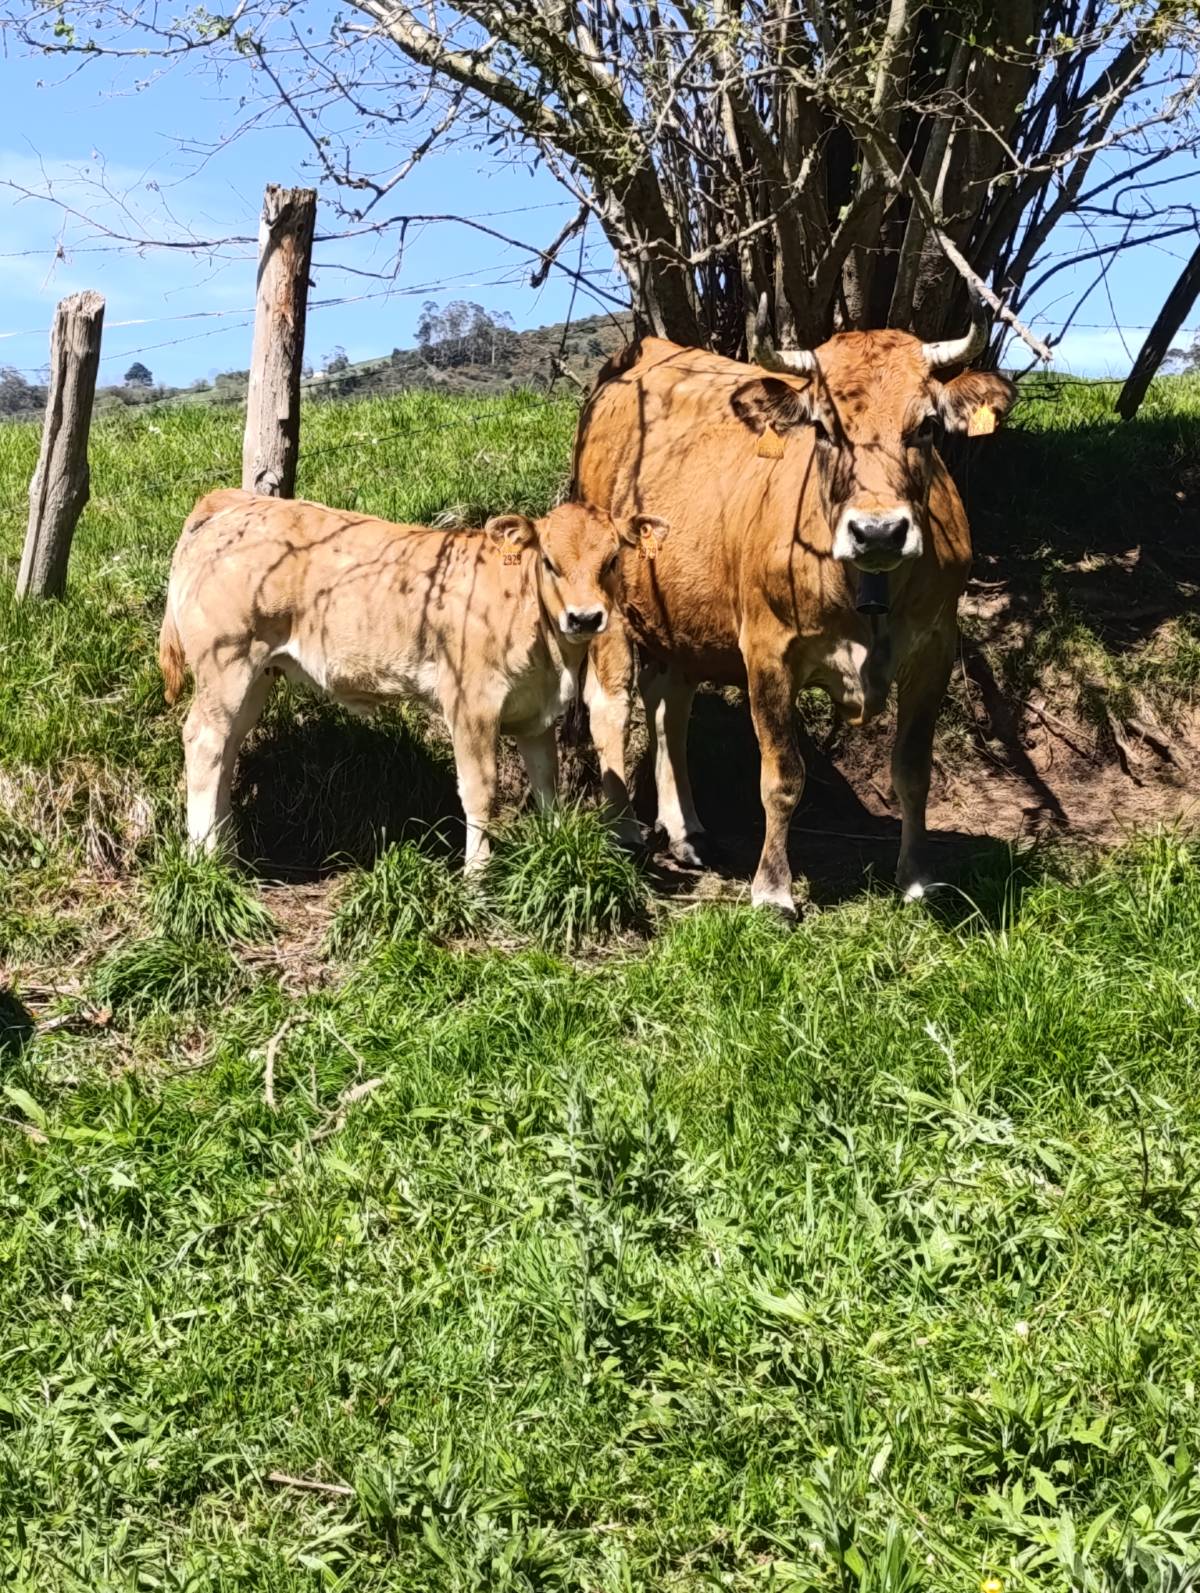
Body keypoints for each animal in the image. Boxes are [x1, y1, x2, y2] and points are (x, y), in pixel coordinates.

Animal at [158, 489, 668, 866]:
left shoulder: (535, 715)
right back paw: (205, 857)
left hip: (255, 676)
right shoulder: (470, 705)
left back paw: (226, 851)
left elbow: (547, 785)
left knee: (226, 748)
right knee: (203, 741)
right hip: (227, 663)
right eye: (549, 562)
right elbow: (479, 790)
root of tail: (235, 503)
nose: (585, 618)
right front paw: (477, 874)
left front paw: (554, 846)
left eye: (612, 561)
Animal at [573, 303, 1015, 914]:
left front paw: (916, 878)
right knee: (611, 706)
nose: (879, 530)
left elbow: (912, 771)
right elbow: (781, 776)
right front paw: (773, 890)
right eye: (824, 428)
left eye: (925, 425)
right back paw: (621, 831)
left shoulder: (935, 649)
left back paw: (686, 831)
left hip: (678, 618)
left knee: (670, 708)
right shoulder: (767, 652)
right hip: (610, 606)